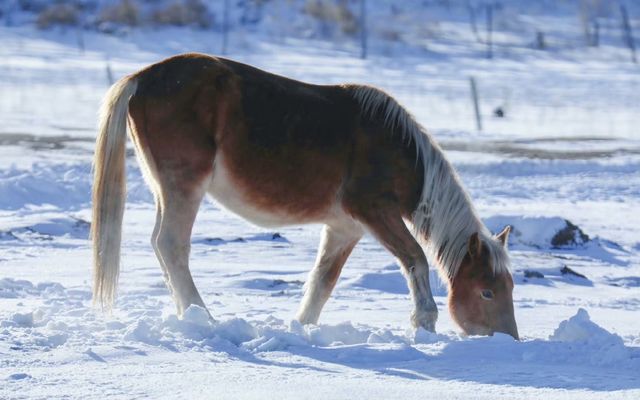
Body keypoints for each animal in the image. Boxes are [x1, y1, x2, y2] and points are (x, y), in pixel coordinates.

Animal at [91, 53, 520, 340]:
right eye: (486, 291)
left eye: (510, 288)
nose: (508, 339)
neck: (396, 149)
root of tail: (141, 78)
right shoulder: (376, 213)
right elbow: (415, 259)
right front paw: (424, 322)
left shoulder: (345, 228)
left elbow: (322, 281)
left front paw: (301, 326)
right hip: (184, 188)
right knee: (172, 245)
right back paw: (203, 315)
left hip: (167, 191)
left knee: (162, 246)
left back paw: (188, 314)